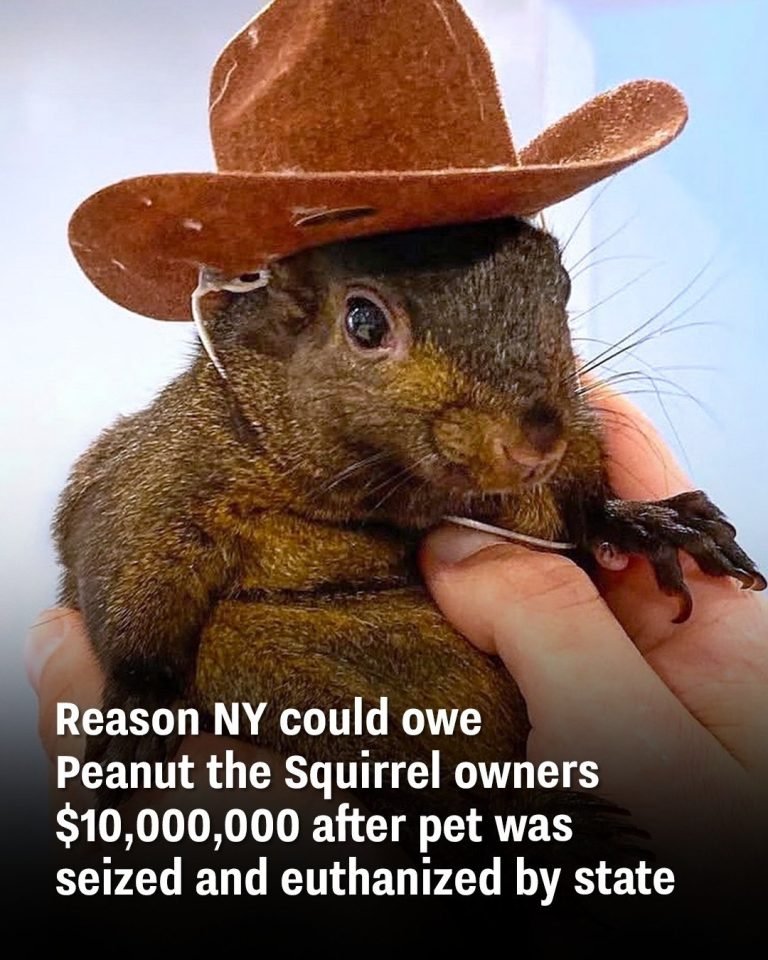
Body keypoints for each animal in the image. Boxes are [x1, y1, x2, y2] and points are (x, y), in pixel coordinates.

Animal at [55, 215, 765, 818]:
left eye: (560, 288)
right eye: (364, 322)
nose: (537, 442)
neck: (393, 496)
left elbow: (580, 508)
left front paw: (646, 523)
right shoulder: (165, 469)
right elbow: (126, 562)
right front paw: (139, 707)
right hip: (250, 648)